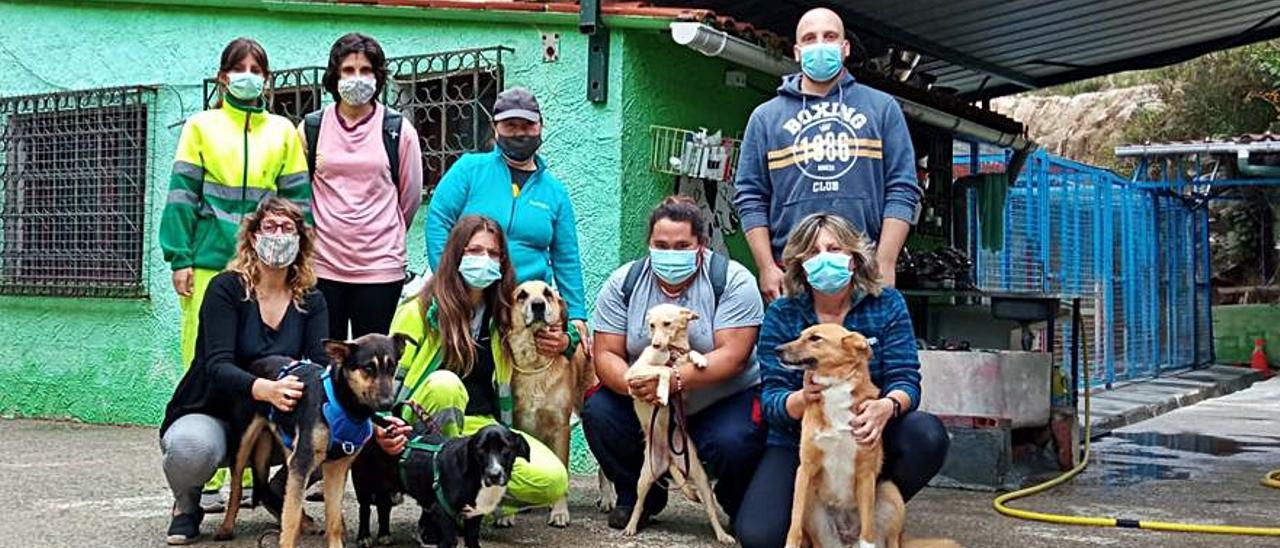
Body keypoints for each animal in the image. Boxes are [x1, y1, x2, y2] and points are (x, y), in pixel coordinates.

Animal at [212, 332, 407, 548]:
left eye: (392, 367)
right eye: (368, 368)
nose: (387, 403)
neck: (342, 402)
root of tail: (258, 362)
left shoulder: (336, 466)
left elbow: (333, 517)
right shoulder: (303, 462)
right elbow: (290, 518)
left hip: (289, 447)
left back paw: (304, 522)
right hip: (244, 444)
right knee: (237, 489)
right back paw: (226, 528)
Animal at [404, 425, 535, 548]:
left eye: (505, 448)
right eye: (480, 449)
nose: (494, 475)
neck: (474, 476)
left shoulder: (474, 516)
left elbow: (472, 539)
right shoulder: (440, 510)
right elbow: (449, 540)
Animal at [504, 282, 593, 527]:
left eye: (547, 293)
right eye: (522, 295)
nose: (538, 305)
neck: (535, 365)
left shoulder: (560, 428)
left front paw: (560, 512)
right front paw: (506, 513)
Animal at [622, 303, 737, 542]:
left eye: (667, 324)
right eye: (651, 325)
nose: (655, 344)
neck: (672, 350)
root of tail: (667, 458)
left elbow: (685, 357)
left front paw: (699, 358)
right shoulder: (634, 373)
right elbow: (665, 369)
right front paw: (662, 392)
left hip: (700, 478)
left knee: (711, 510)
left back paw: (722, 535)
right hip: (644, 479)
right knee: (638, 504)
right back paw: (630, 526)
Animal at [773, 322, 957, 548]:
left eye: (815, 338)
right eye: (800, 335)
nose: (776, 350)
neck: (835, 387)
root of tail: (847, 540)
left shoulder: (866, 473)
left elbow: (867, 530)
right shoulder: (805, 469)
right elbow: (794, 523)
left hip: (890, 493)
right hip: (811, 502)